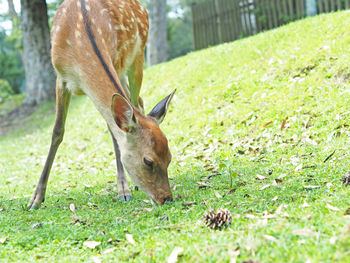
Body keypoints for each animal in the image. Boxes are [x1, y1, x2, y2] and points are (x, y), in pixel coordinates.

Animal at [27, 0, 176, 210]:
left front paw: (123, 190)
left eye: (170, 158)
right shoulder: (60, 78)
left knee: (136, 101)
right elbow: (57, 131)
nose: (167, 198)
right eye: (148, 161)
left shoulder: (116, 61)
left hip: (137, 57)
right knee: (136, 103)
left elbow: (114, 132)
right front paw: (35, 199)